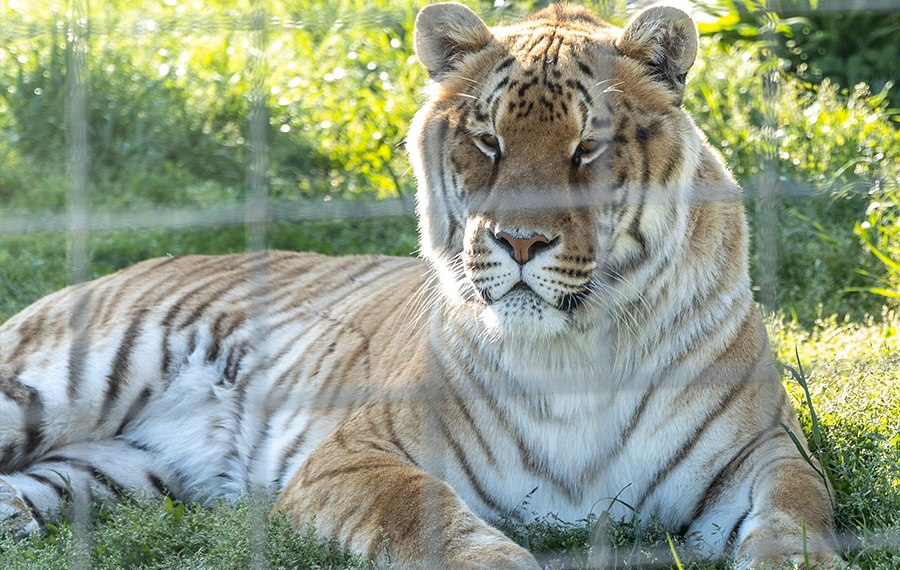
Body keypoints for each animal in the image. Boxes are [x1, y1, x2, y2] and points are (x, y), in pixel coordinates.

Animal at [0, 4, 844, 568]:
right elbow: (427, 517)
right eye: (488, 140)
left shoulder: (761, 452)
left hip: (115, 471)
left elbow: (798, 510)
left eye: (588, 146)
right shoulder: (354, 456)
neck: (573, 349)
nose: (520, 242)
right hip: (48, 384)